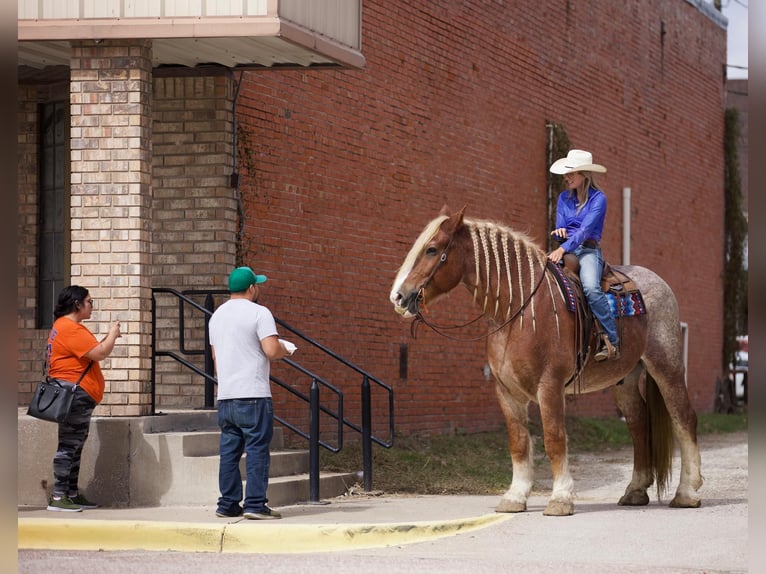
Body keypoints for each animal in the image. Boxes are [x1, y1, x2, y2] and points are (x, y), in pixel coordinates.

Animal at [392, 206, 704, 516]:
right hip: (624, 379)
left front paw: (561, 498)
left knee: (683, 418)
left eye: (432, 249)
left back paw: (687, 492)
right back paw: (635, 490)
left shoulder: (550, 385)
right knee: (638, 423)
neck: (519, 310)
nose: (398, 296)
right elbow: (518, 442)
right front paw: (515, 497)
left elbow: (554, 439)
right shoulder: (506, 391)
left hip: (666, 365)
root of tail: (657, 282)